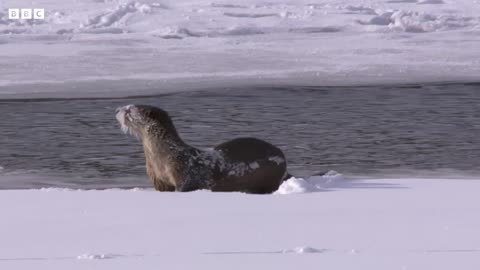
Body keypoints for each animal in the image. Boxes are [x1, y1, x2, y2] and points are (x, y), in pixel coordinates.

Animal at [116, 104, 288, 193]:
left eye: (129, 110)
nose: (117, 110)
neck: (163, 157)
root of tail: (283, 156)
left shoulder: (184, 172)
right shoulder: (158, 180)